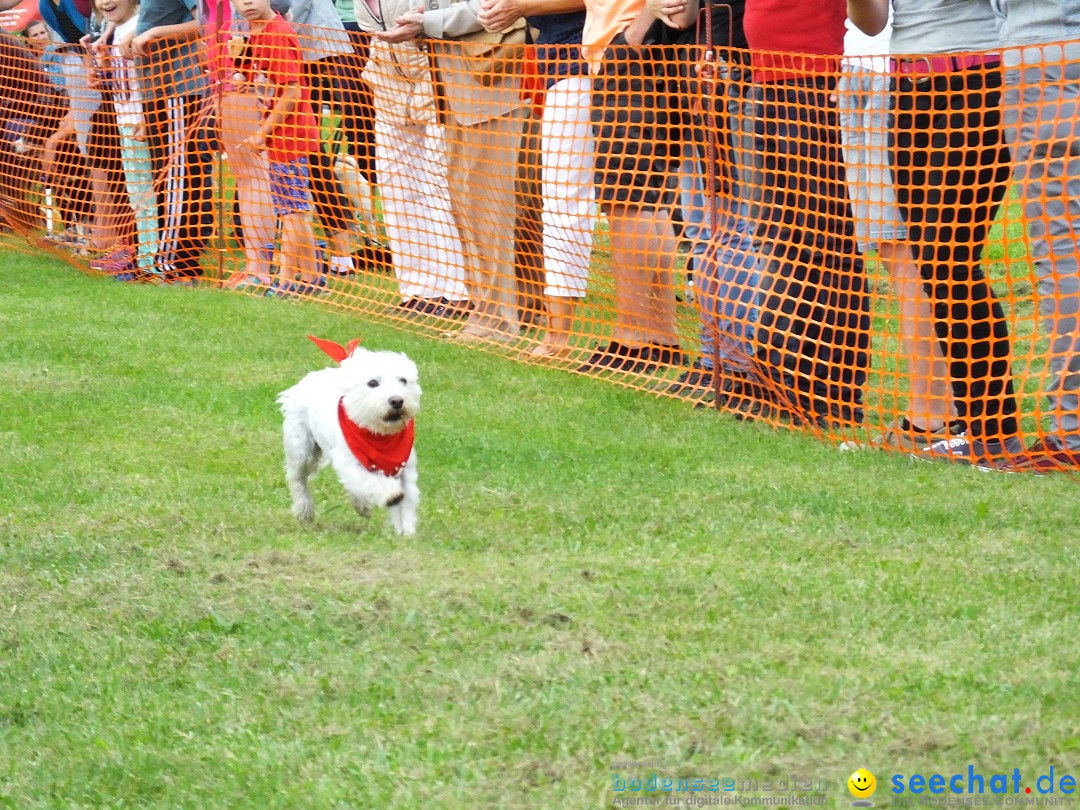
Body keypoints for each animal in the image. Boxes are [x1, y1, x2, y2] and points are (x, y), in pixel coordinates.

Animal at [276, 336, 419, 535]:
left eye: (403, 380)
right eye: (373, 382)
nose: (397, 401)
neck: (379, 436)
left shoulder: (405, 469)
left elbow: (405, 504)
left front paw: (406, 532)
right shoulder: (348, 461)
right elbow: (369, 482)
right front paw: (390, 495)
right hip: (301, 447)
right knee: (297, 477)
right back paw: (304, 510)